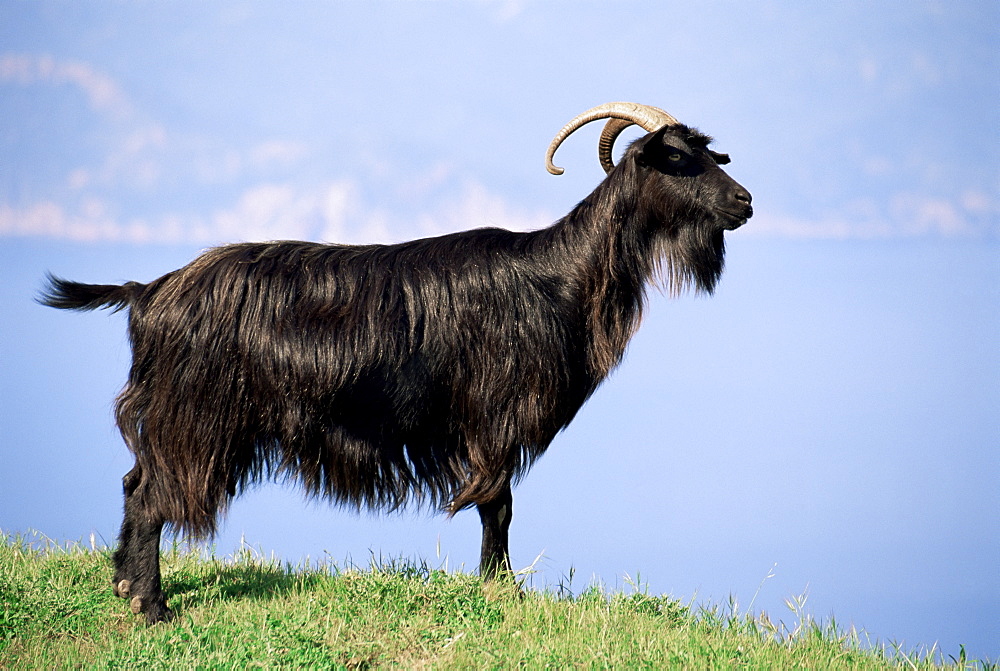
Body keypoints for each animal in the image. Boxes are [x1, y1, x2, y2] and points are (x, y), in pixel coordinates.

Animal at [43, 101, 752, 624]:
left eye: (709, 153)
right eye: (679, 159)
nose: (745, 202)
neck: (556, 277)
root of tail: (149, 290)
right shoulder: (490, 419)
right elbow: (498, 505)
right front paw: (500, 590)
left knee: (134, 482)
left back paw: (126, 589)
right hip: (193, 416)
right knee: (151, 494)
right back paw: (152, 606)